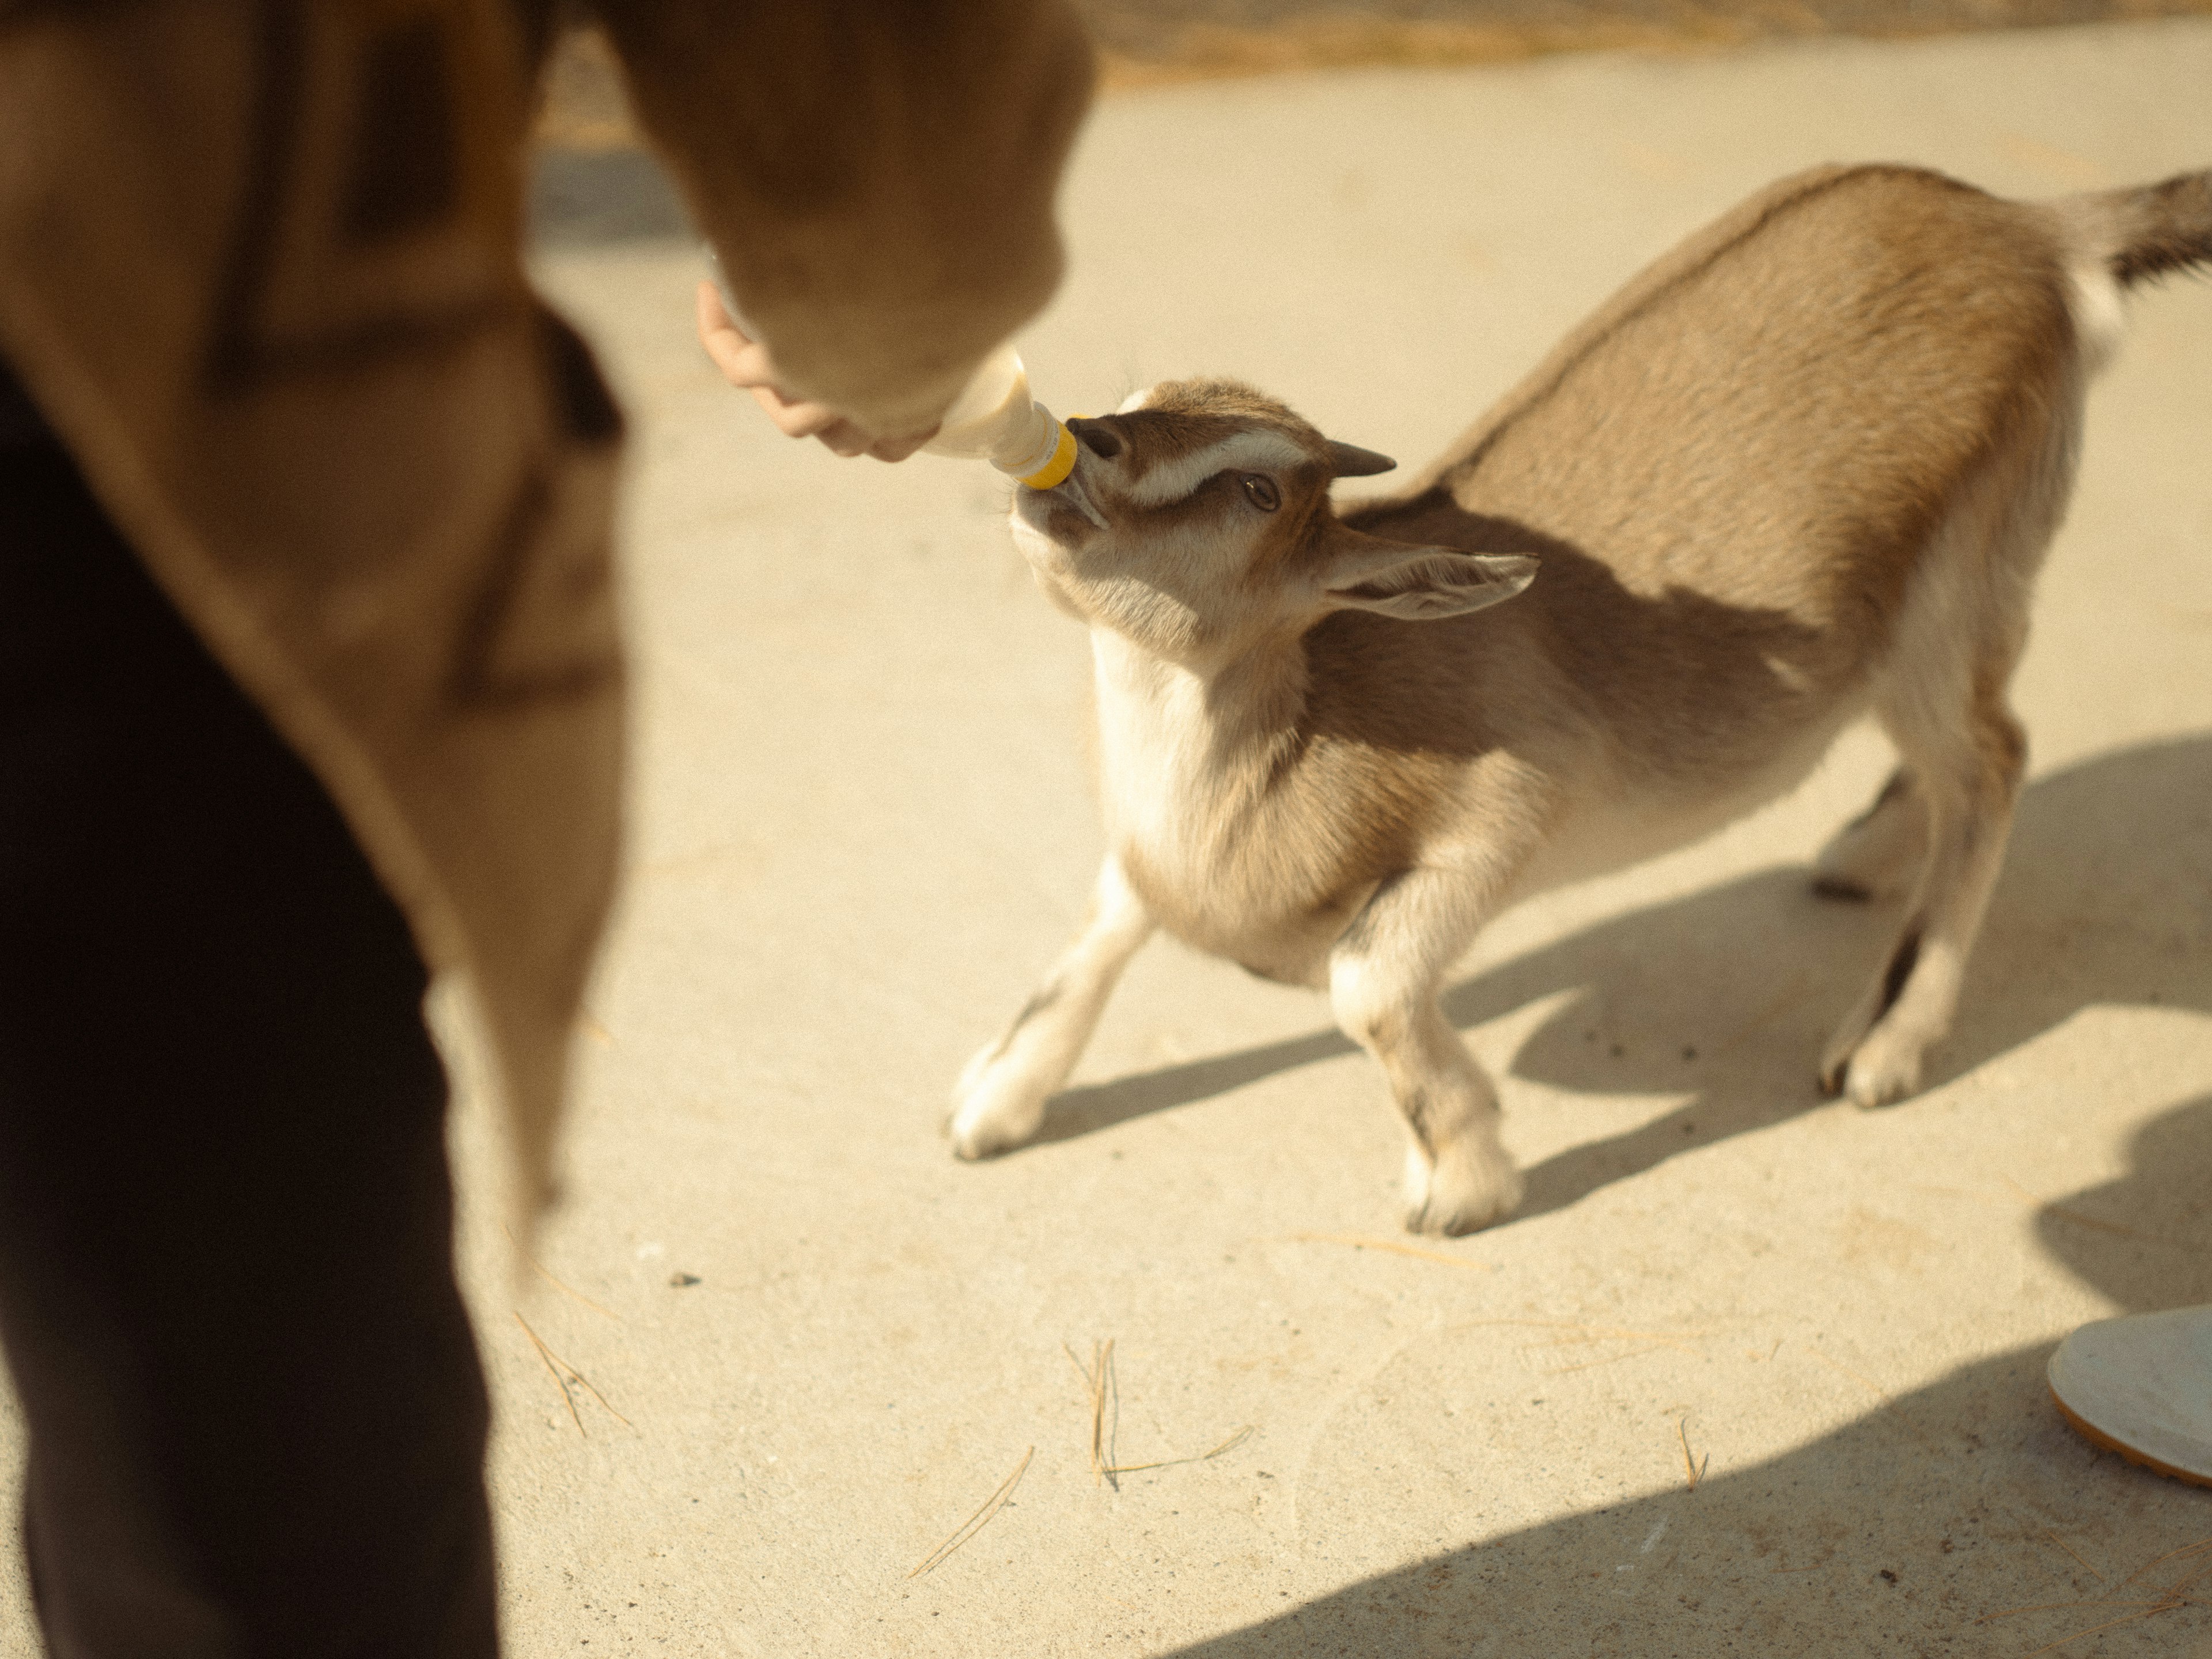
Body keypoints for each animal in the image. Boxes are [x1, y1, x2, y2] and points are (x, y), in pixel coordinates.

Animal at [951, 166, 2212, 1238]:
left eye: (1259, 490)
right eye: (1141, 398)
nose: (1081, 449)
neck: (1296, 737)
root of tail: (2037, 228)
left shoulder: (1512, 806)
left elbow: (1365, 985)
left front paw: (1463, 1184)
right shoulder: (1147, 864)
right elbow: (1098, 933)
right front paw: (990, 1106)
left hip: (1946, 606)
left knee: (1996, 757)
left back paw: (1883, 1045)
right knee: (1969, 754)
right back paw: (1858, 856)